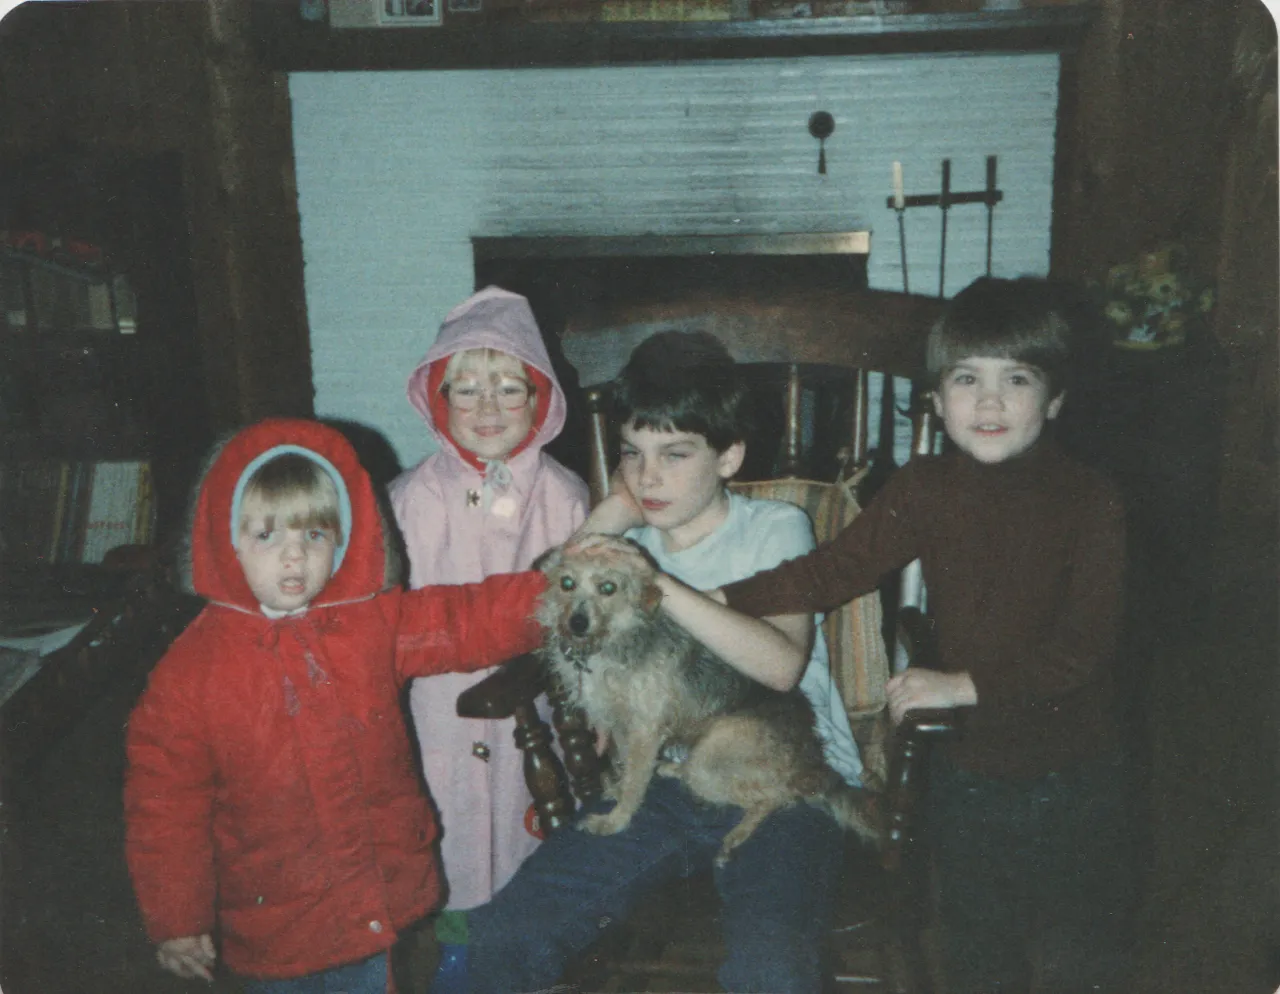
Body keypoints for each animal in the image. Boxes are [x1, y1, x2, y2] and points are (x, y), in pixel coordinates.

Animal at [532, 534, 880, 859]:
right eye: (567, 583)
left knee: (780, 795)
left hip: (710, 761)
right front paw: (617, 789)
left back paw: (736, 836)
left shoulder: (644, 729)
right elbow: (627, 768)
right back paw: (674, 770)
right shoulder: (620, 723)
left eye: (608, 587)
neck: (617, 639)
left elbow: (634, 782)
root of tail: (810, 757)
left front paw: (615, 820)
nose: (577, 623)